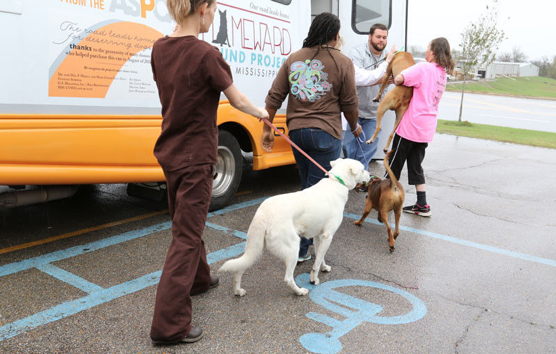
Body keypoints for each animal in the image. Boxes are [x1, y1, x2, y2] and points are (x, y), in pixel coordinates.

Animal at [219, 158, 372, 296]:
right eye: (363, 169)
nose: (371, 175)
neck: (337, 182)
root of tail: (264, 214)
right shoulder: (328, 236)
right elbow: (316, 263)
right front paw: (314, 280)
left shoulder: (318, 236)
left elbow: (320, 257)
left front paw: (324, 268)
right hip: (293, 247)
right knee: (288, 278)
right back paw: (299, 291)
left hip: (255, 248)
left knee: (240, 269)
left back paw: (237, 291)